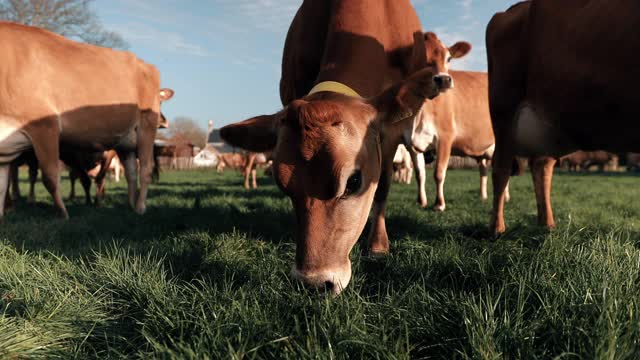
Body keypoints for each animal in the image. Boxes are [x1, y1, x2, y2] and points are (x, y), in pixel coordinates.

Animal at [0, 23, 174, 219]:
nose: (164, 121)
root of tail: (144, 64)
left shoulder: (45, 126)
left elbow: (50, 177)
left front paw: (63, 214)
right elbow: (2, 185)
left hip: (146, 127)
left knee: (145, 168)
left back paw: (140, 208)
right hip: (126, 141)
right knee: (131, 172)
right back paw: (130, 205)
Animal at [220, 0, 444, 296]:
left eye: (354, 182)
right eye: (283, 185)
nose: (313, 283)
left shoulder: (393, 130)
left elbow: (382, 186)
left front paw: (377, 245)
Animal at [484, 0, 640, 235]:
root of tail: (512, 9)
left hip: (548, 123)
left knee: (541, 166)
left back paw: (547, 224)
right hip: (503, 110)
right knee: (501, 168)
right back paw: (496, 228)